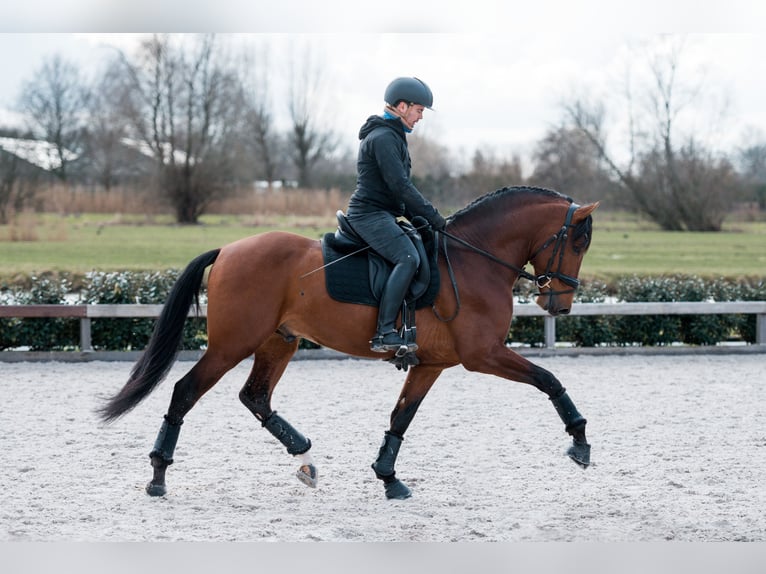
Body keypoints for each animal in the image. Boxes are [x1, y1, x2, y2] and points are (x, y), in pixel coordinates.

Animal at [99, 187, 600, 502]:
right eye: (577, 242)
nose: (559, 305)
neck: (474, 258)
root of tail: (227, 250)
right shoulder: (484, 355)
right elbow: (549, 379)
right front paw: (580, 442)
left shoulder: (432, 364)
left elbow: (401, 417)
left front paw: (388, 477)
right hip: (231, 345)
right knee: (185, 392)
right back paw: (158, 476)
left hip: (279, 342)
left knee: (255, 396)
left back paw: (304, 456)